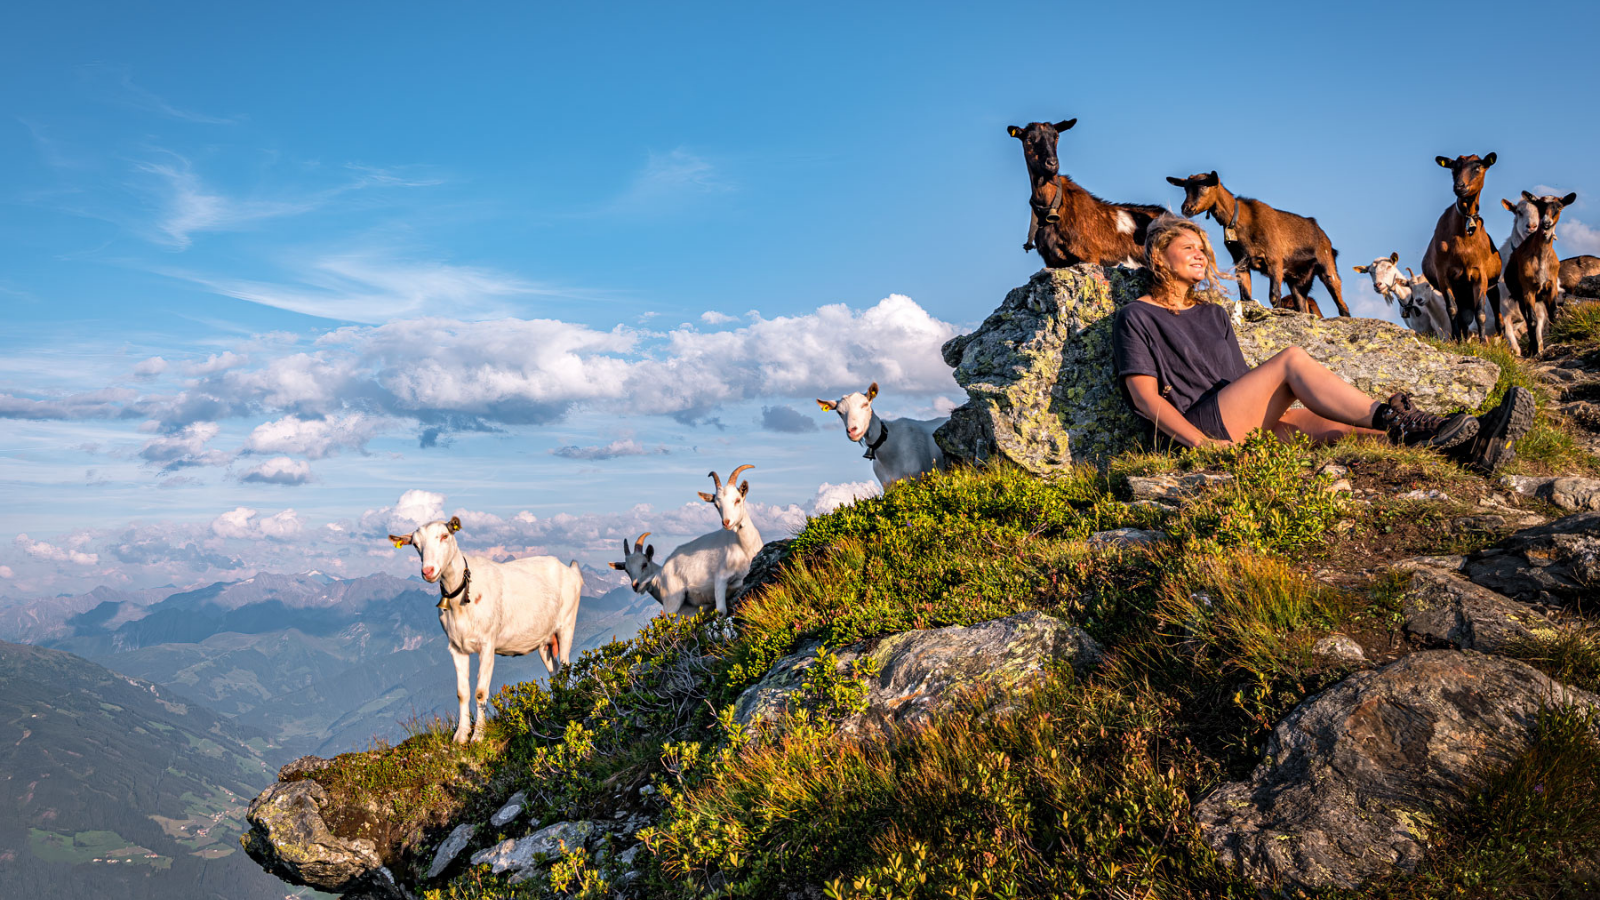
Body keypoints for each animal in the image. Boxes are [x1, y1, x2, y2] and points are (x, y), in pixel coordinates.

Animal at [387, 515, 582, 739]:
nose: (428, 571)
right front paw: (460, 736)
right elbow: (462, 693)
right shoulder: (456, 647)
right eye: (415, 544)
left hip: (567, 624)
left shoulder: (487, 644)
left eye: (445, 536)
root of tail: (571, 569)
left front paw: (478, 736)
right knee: (554, 672)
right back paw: (556, 704)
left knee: (565, 666)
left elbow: (480, 692)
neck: (461, 596)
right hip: (544, 641)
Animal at [1011, 113, 1164, 265]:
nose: (1052, 163)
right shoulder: (1052, 260)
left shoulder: (1090, 255)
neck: (1052, 206)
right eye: (1029, 139)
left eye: (1056, 136)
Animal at [1164, 171, 1350, 315]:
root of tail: (1322, 234)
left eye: (1204, 186)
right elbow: (1246, 297)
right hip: (1298, 281)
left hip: (1327, 267)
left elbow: (1274, 295)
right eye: (1185, 188)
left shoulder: (1275, 260)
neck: (1240, 221)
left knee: (1341, 303)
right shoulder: (1241, 263)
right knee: (1302, 306)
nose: (1186, 209)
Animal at [1420, 152, 1504, 341]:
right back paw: (1461, 337)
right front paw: (1457, 340)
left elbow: (1481, 312)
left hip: (1492, 286)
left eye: (1478, 167)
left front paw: (1482, 342)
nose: (1459, 186)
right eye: (1453, 168)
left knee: (1498, 317)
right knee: (1463, 316)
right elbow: (1452, 310)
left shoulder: (1481, 275)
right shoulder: (1444, 274)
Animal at [1504, 188, 1580, 353]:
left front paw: (1558, 340)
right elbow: (1531, 320)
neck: (1541, 258)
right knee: (1528, 319)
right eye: (1539, 206)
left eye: (1558, 207)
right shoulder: (1528, 290)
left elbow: (1553, 315)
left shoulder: (1551, 287)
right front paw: (1534, 350)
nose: (1545, 223)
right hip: (1520, 297)